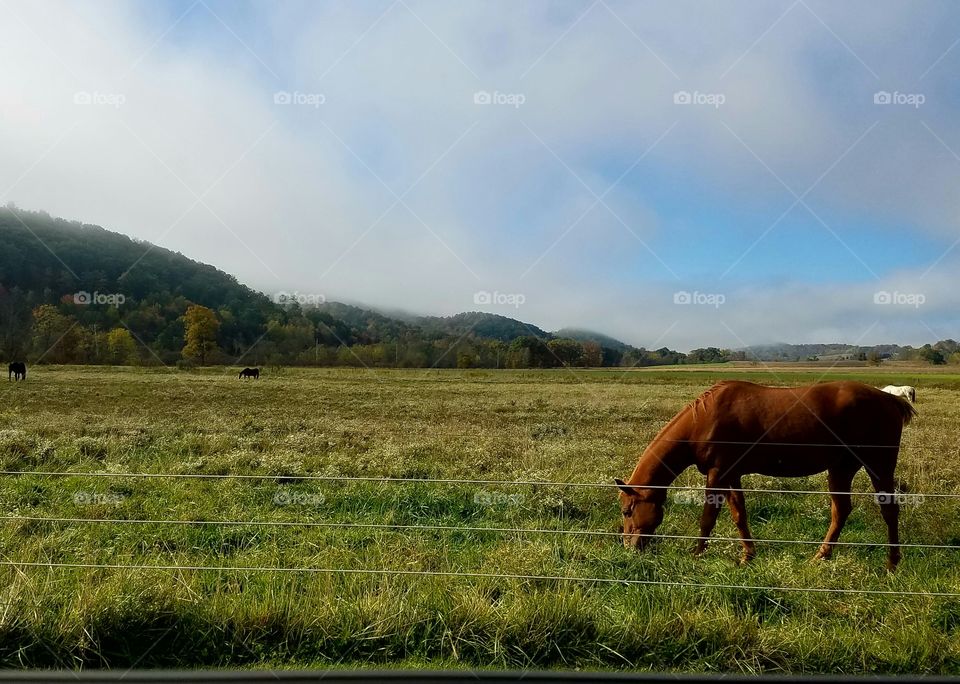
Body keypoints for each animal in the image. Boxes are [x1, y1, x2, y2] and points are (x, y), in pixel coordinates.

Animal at [615, 380, 916, 571]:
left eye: (628, 511)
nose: (629, 548)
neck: (704, 419)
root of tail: (890, 398)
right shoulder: (731, 474)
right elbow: (739, 515)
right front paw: (747, 555)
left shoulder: (717, 474)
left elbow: (707, 517)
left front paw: (697, 553)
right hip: (841, 468)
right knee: (841, 510)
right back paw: (821, 556)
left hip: (879, 465)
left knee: (889, 511)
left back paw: (892, 563)